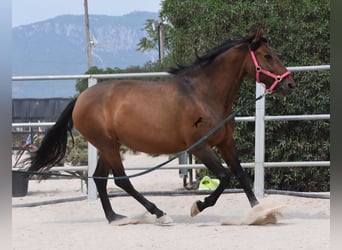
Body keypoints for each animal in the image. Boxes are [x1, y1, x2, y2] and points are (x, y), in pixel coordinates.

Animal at [27, 28, 294, 223]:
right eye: (268, 56)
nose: (290, 84)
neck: (202, 94)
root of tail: (80, 99)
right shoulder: (199, 147)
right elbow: (224, 176)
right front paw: (198, 206)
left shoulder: (225, 142)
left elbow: (241, 175)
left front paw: (260, 213)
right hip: (109, 146)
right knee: (121, 181)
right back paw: (159, 214)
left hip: (106, 146)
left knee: (99, 179)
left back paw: (115, 218)